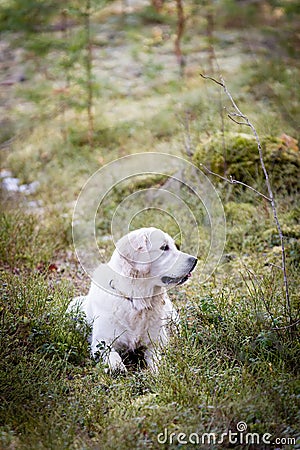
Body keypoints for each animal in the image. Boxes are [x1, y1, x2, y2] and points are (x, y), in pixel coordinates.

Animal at [67, 229, 197, 372]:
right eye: (164, 247)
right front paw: (116, 366)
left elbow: (156, 357)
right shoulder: (101, 340)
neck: (137, 301)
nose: (195, 260)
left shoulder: (157, 341)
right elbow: (110, 353)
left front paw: (158, 369)